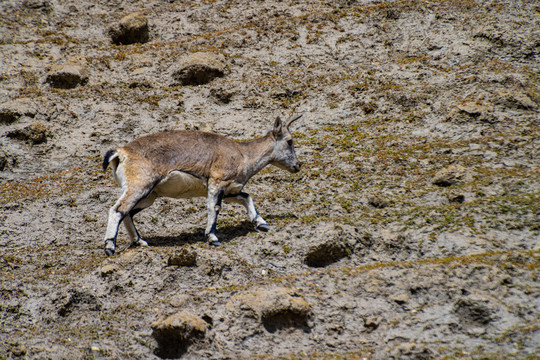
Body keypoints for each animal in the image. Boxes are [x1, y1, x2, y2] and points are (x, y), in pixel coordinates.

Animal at [102, 114, 304, 255]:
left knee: (127, 213)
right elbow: (214, 207)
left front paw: (261, 223)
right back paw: (110, 246)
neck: (243, 155)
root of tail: (121, 152)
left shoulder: (229, 191)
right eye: (289, 141)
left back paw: (140, 242)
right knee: (118, 209)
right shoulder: (217, 182)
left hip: (149, 195)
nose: (298, 165)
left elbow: (246, 197)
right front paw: (212, 238)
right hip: (140, 185)